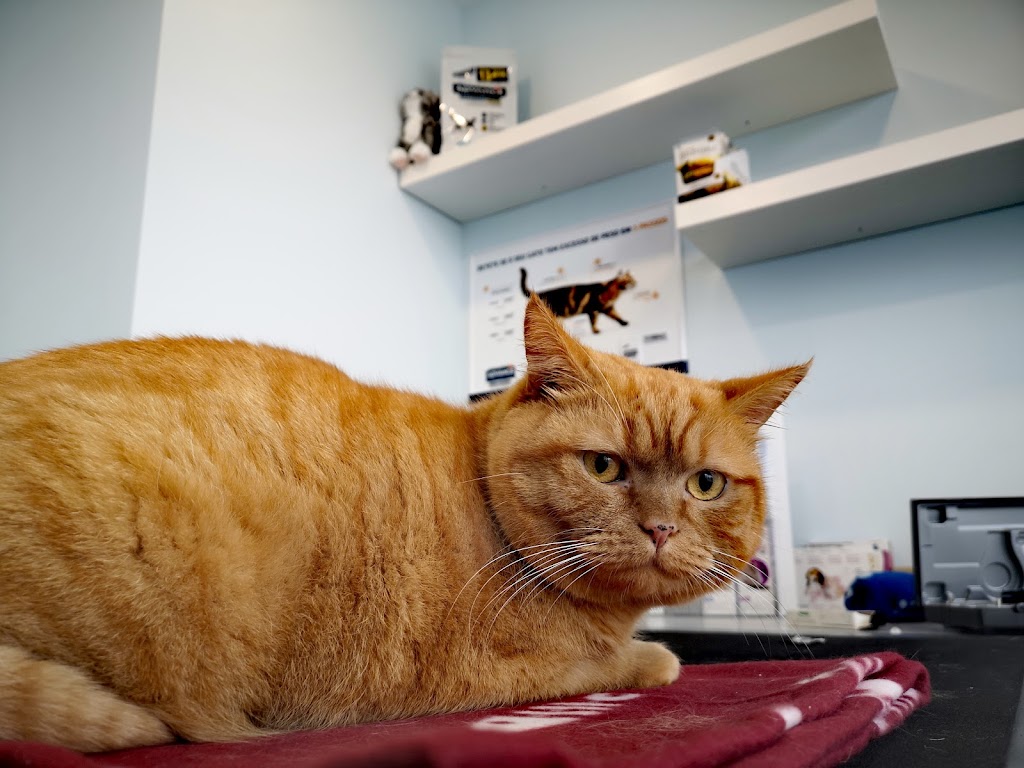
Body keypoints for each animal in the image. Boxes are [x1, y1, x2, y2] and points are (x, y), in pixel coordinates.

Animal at [0, 295, 809, 753]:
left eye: (705, 484)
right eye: (604, 467)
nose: (661, 529)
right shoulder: (511, 675)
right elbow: (623, 663)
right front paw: (657, 657)